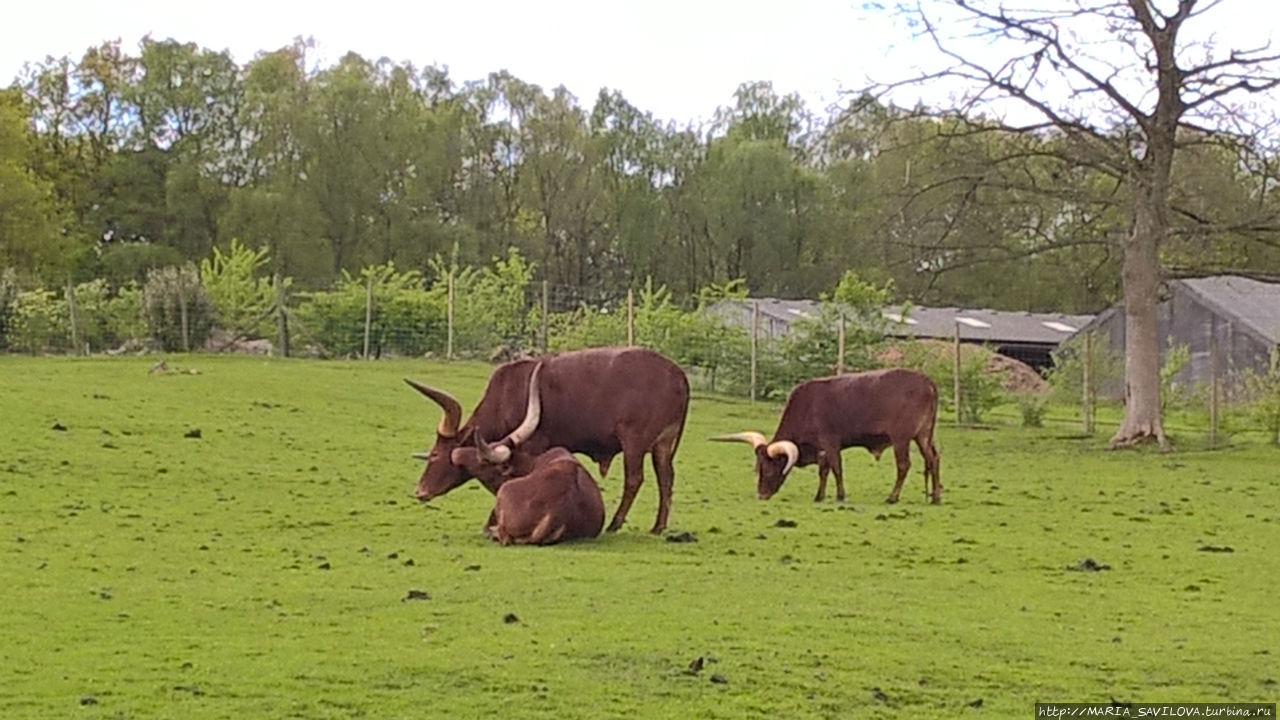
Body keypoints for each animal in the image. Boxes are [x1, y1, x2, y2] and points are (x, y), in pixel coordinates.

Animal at [409, 345, 691, 530]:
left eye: (435, 454)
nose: (420, 491)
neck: (507, 394)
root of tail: (678, 375)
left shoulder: (533, 446)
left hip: (635, 442)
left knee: (634, 480)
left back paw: (615, 522)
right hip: (663, 446)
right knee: (666, 479)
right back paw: (658, 526)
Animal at [711, 366, 942, 502]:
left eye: (768, 469)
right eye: (758, 469)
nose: (761, 495)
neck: (807, 406)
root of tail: (928, 382)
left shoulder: (830, 443)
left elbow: (836, 468)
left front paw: (840, 496)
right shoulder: (821, 449)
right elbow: (824, 471)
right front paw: (819, 496)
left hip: (901, 439)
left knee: (904, 465)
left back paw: (892, 497)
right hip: (923, 436)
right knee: (933, 459)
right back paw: (935, 497)